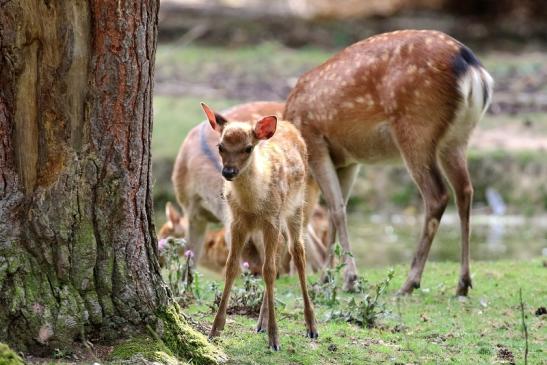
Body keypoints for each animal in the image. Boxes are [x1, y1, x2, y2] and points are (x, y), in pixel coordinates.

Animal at [284, 29, 494, 294]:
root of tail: (471, 67)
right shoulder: (348, 160)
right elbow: (335, 210)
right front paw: (326, 278)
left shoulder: (314, 141)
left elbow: (338, 210)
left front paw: (349, 279)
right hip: (457, 138)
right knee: (465, 190)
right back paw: (463, 284)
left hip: (416, 129)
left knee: (437, 195)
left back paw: (410, 282)